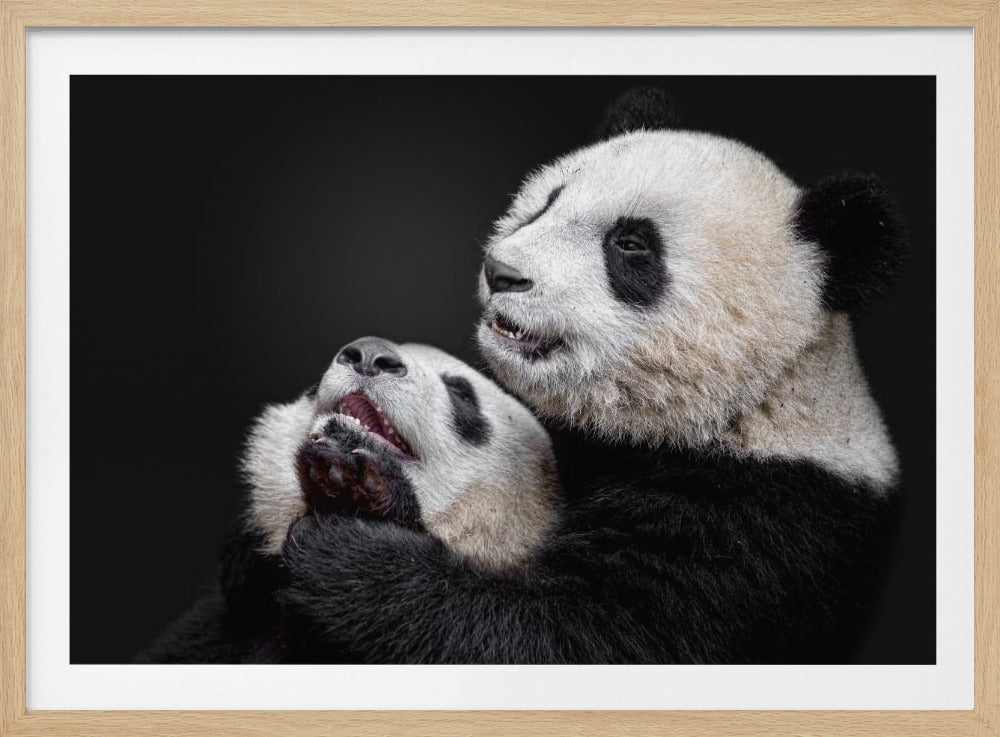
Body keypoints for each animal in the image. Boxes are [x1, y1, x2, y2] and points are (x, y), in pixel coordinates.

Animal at [277, 88, 906, 664]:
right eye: (547, 202)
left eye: (630, 244)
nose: (502, 272)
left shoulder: (757, 526)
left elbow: (576, 638)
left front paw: (351, 539)